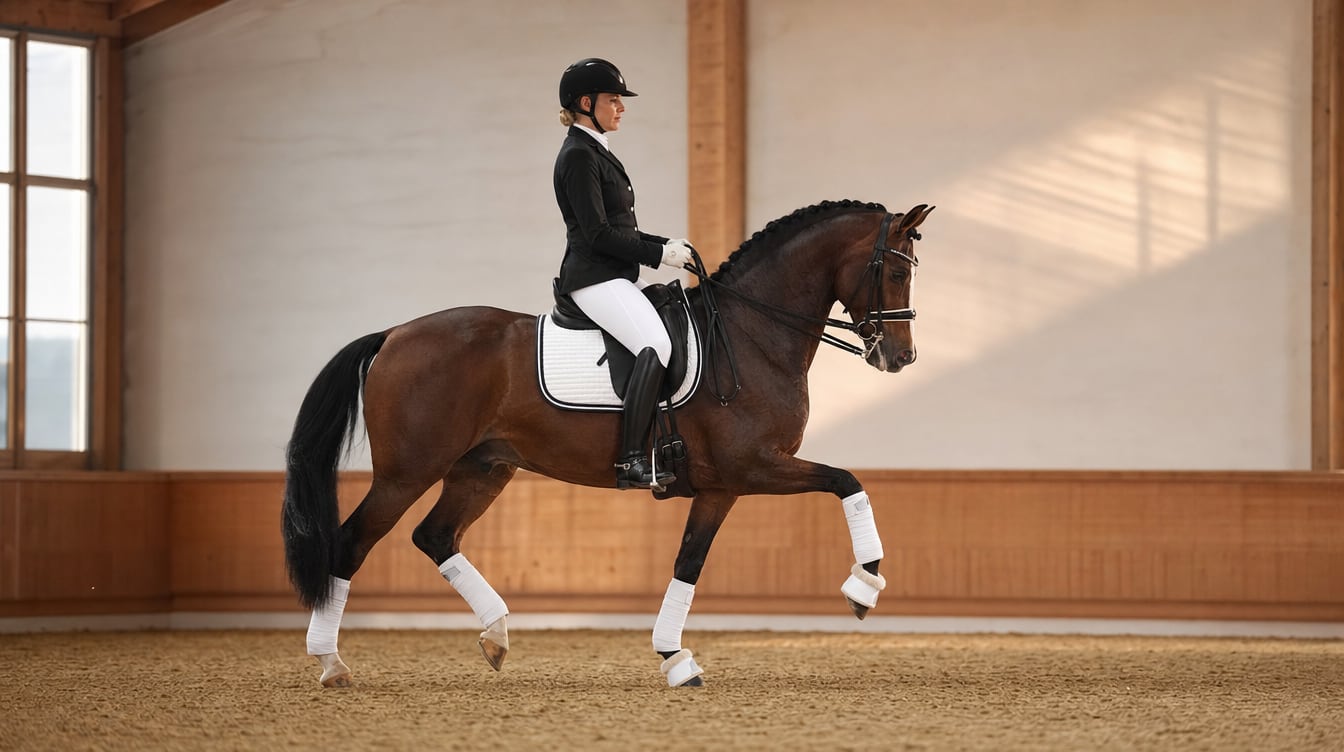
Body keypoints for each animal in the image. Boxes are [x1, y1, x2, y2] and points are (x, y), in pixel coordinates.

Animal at [282, 199, 934, 688]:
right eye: (897, 271)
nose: (901, 359)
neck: (751, 334)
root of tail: (394, 334)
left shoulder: (723, 486)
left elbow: (689, 562)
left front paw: (675, 658)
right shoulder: (755, 467)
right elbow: (848, 481)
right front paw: (864, 587)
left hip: (483, 468)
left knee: (435, 535)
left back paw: (496, 635)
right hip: (407, 472)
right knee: (352, 542)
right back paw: (331, 663)